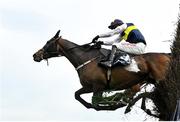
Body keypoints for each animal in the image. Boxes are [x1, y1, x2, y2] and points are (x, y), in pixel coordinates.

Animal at [33, 30, 170, 110]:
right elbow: (78, 96)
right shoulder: (89, 87)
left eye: (48, 42)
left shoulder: (98, 85)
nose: (35, 55)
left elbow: (97, 101)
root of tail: (166, 55)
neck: (86, 58)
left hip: (160, 79)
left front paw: (112, 104)